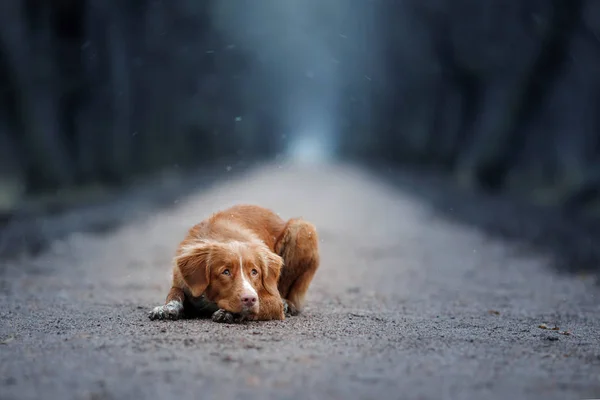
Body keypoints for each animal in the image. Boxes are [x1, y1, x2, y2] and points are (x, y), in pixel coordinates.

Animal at [148, 205, 322, 324]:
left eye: (254, 272)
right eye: (225, 272)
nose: (249, 299)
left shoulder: (273, 300)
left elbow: (258, 306)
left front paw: (230, 313)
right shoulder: (181, 280)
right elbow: (175, 293)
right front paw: (166, 308)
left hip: (302, 229)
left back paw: (288, 303)